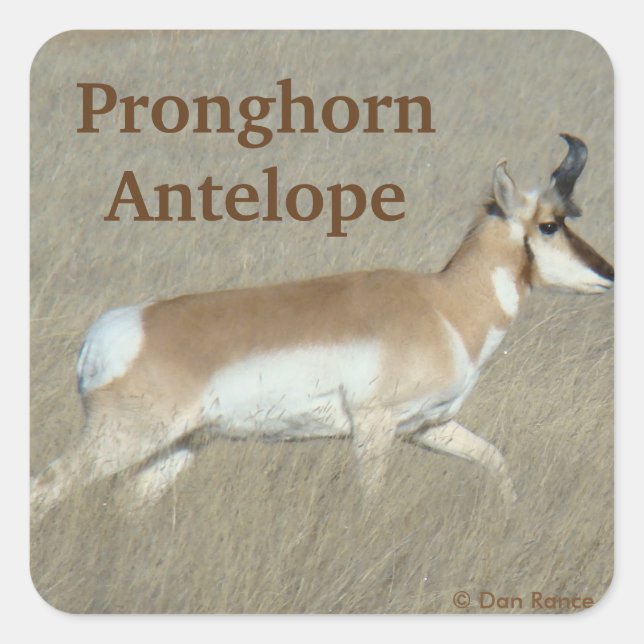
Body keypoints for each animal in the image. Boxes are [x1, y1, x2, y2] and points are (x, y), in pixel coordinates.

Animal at [31, 134, 614, 522]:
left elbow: (495, 461)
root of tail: (108, 334)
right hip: (124, 440)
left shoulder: (428, 427)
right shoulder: (373, 430)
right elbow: (372, 502)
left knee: (128, 503)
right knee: (45, 489)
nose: (608, 273)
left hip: (176, 447)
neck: (442, 305)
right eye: (549, 224)